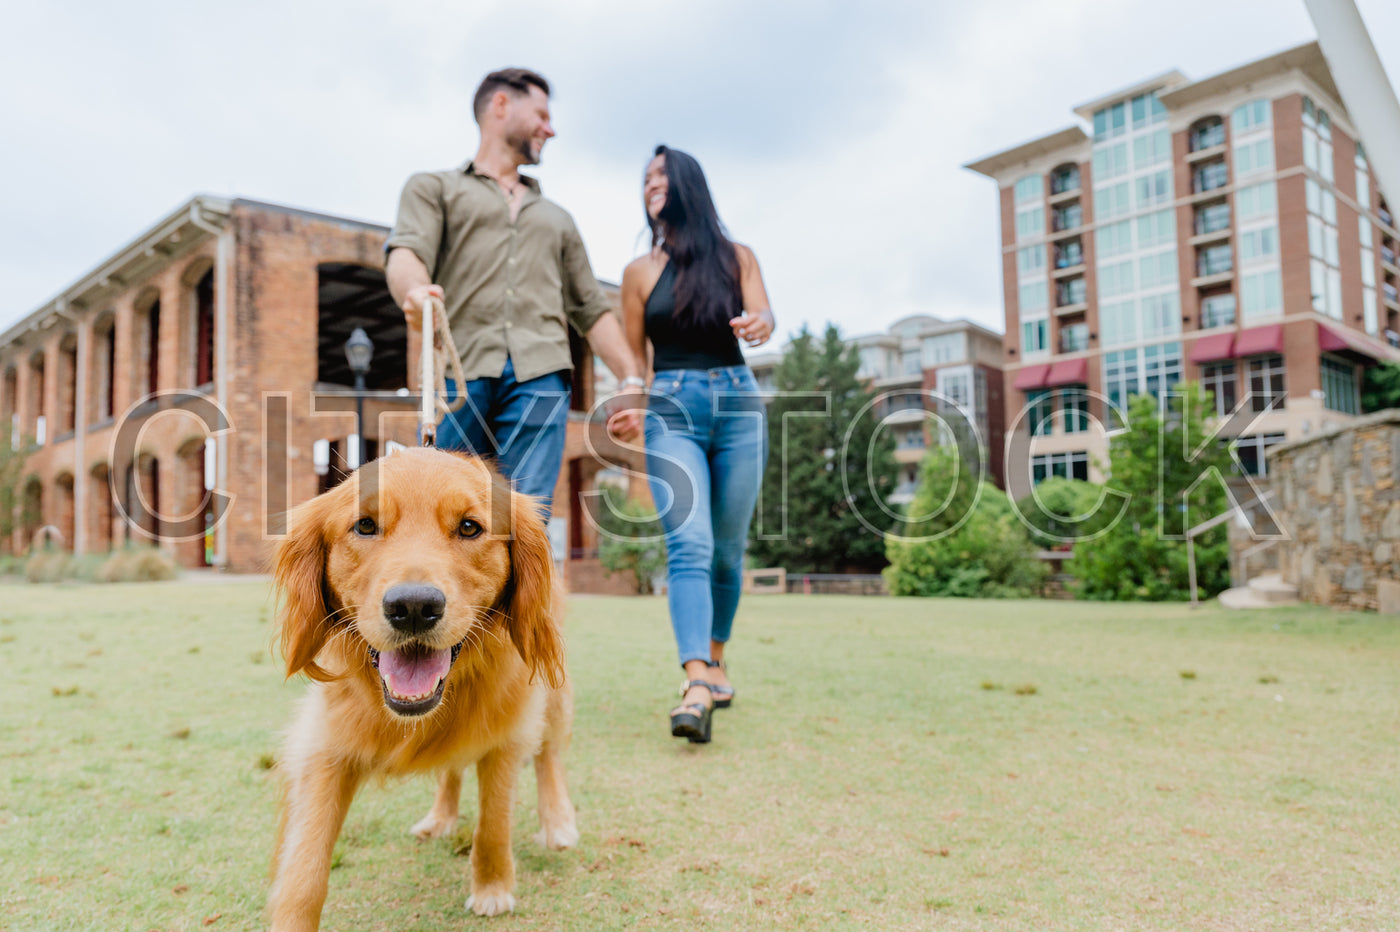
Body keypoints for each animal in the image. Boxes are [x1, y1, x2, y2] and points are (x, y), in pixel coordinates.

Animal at [270, 447, 576, 923]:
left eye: (469, 527)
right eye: (365, 525)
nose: (413, 606)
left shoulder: (509, 734)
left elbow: (494, 822)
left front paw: (492, 886)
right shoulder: (326, 747)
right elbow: (305, 865)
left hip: (553, 691)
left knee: (549, 755)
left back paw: (558, 820)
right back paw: (440, 818)